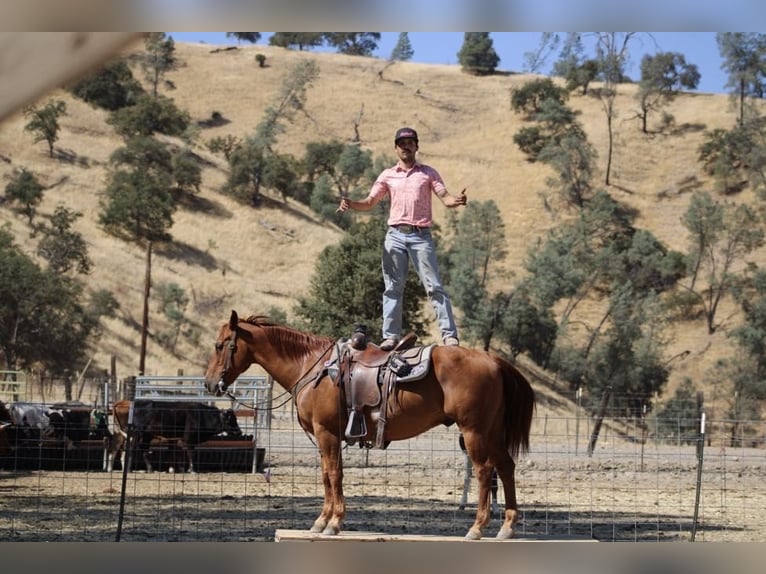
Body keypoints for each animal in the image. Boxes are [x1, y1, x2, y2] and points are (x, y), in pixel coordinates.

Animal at [106, 398, 242, 474]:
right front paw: (191, 469)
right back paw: (128, 469)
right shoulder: (189, 439)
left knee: (135, 450)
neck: (200, 415)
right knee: (130, 449)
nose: (239, 432)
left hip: (142, 436)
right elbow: (190, 453)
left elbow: (178, 453)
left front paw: (179, 468)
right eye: (231, 419)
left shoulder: (178, 439)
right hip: (136, 434)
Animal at [207, 312, 536, 544]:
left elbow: (334, 474)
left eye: (220, 345)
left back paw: (477, 527)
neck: (314, 367)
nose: (210, 384)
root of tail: (492, 359)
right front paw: (322, 521)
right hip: (491, 432)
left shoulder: (326, 433)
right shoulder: (327, 437)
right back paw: (507, 527)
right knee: (506, 467)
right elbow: (327, 475)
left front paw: (333, 523)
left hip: (474, 432)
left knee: (484, 471)